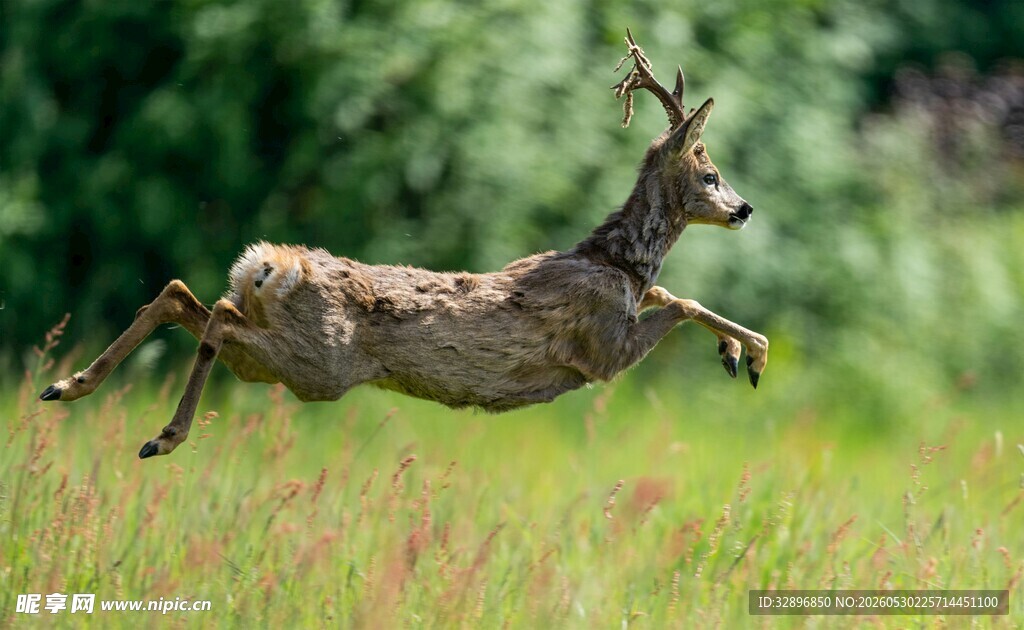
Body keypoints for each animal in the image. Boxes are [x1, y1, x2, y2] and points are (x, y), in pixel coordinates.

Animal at [38, 31, 768, 460]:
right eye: (710, 174)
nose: (745, 209)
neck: (617, 260)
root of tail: (270, 268)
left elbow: (672, 292)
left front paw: (736, 354)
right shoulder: (602, 351)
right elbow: (683, 301)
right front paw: (753, 353)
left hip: (278, 361)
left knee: (179, 295)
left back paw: (67, 386)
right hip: (314, 366)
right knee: (212, 314)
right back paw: (161, 436)